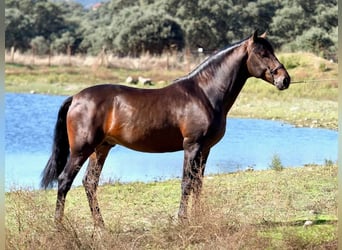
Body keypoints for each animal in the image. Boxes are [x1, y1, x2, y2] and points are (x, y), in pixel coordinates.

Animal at [40, 30, 292, 228]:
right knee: (64, 181)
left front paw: (198, 218)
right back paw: (59, 226)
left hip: (101, 149)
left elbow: (198, 183)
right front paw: (182, 220)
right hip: (81, 149)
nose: (285, 79)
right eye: (262, 53)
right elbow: (187, 183)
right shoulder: (192, 146)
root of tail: (76, 97)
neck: (204, 94)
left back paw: (101, 225)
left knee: (89, 183)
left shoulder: (205, 150)